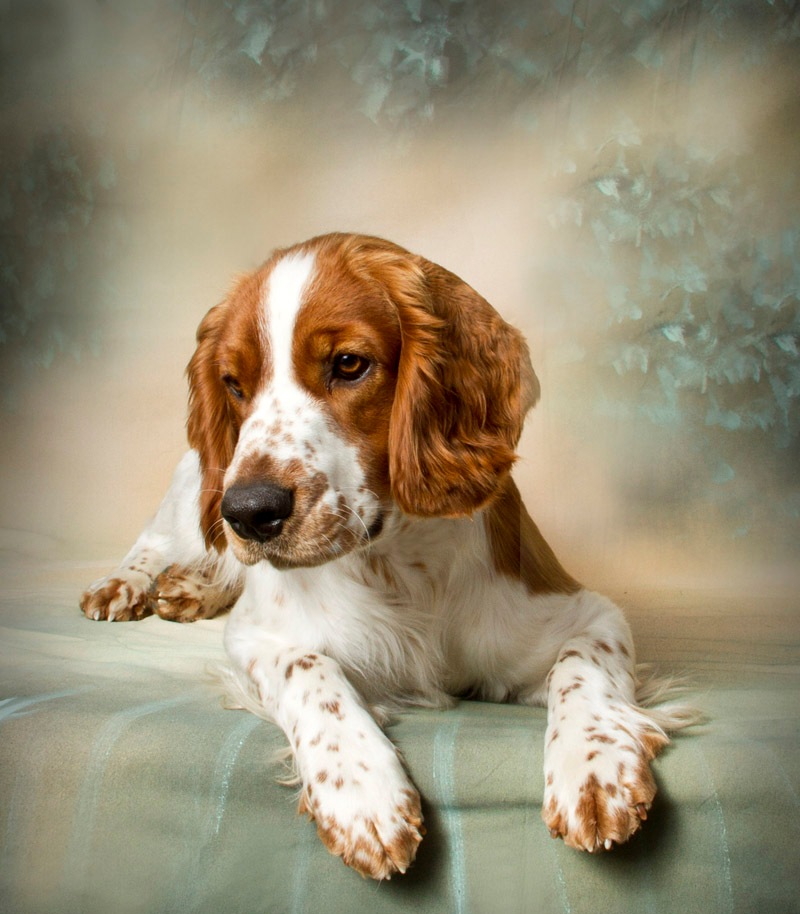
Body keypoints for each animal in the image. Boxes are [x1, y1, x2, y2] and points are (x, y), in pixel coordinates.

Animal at [83, 232, 692, 880]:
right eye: (234, 384)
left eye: (350, 364)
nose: (249, 512)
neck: (399, 562)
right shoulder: (257, 635)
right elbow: (310, 669)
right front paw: (361, 792)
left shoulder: (587, 613)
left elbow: (581, 669)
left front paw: (596, 766)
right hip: (198, 490)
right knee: (158, 540)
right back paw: (126, 586)